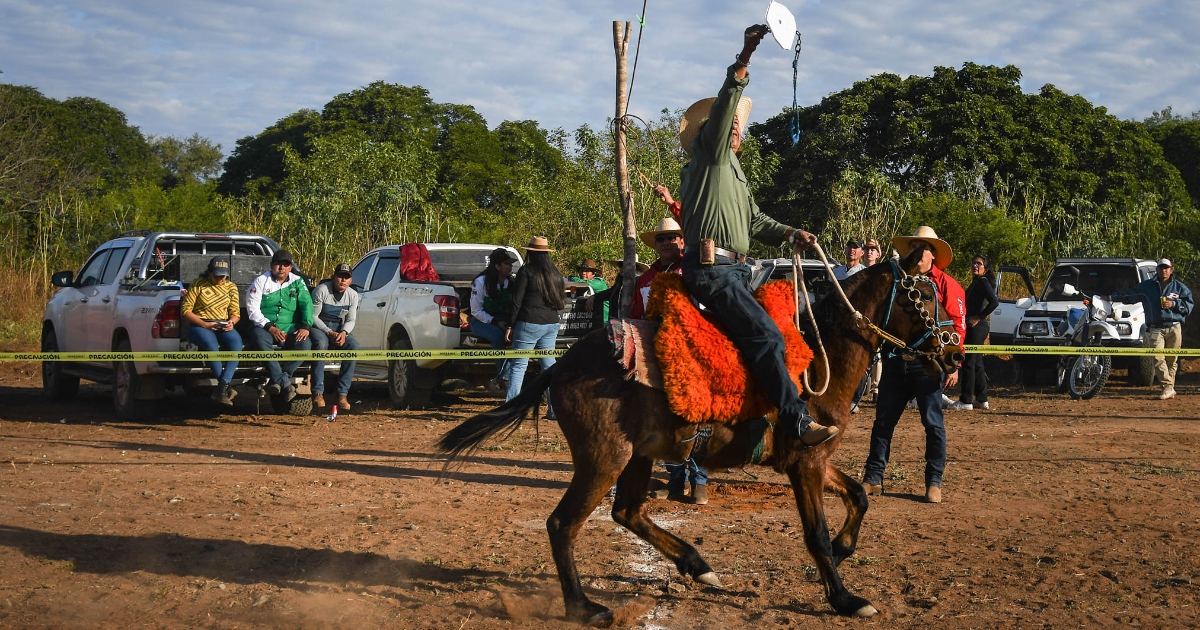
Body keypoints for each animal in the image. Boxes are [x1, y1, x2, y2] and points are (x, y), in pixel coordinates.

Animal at [436, 249, 960, 624]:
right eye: (923, 296)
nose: (954, 356)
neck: (817, 355)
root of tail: (562, 365)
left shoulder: (815, 456)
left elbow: (859, 495)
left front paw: (848, 547)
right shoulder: (805, 463)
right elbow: (816, 535)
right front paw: (846, 599)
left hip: (636, 457)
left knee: (627, 512)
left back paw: (696, 564)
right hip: (603, 459)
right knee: (564, 523)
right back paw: (585, 608)